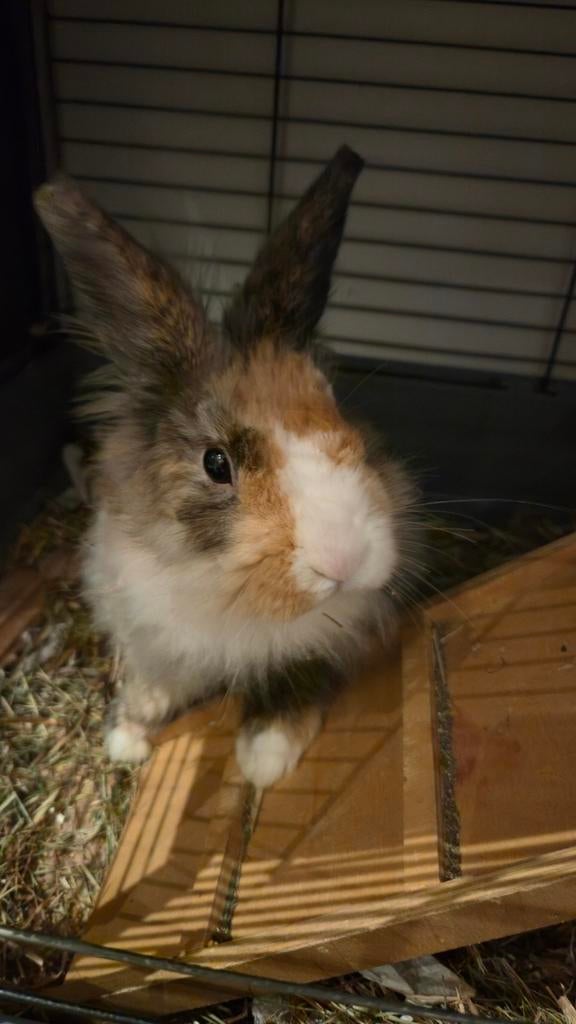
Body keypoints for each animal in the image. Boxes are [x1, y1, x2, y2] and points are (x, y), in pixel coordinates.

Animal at [34, 146, 417, 788]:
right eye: (217, 463)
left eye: (340, 413)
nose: (343, 562)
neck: (223, 594)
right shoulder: (153, 635)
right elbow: (154, 686)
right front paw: (127, 737)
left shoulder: (322, 641)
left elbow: (296, 681)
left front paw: (265, 756)